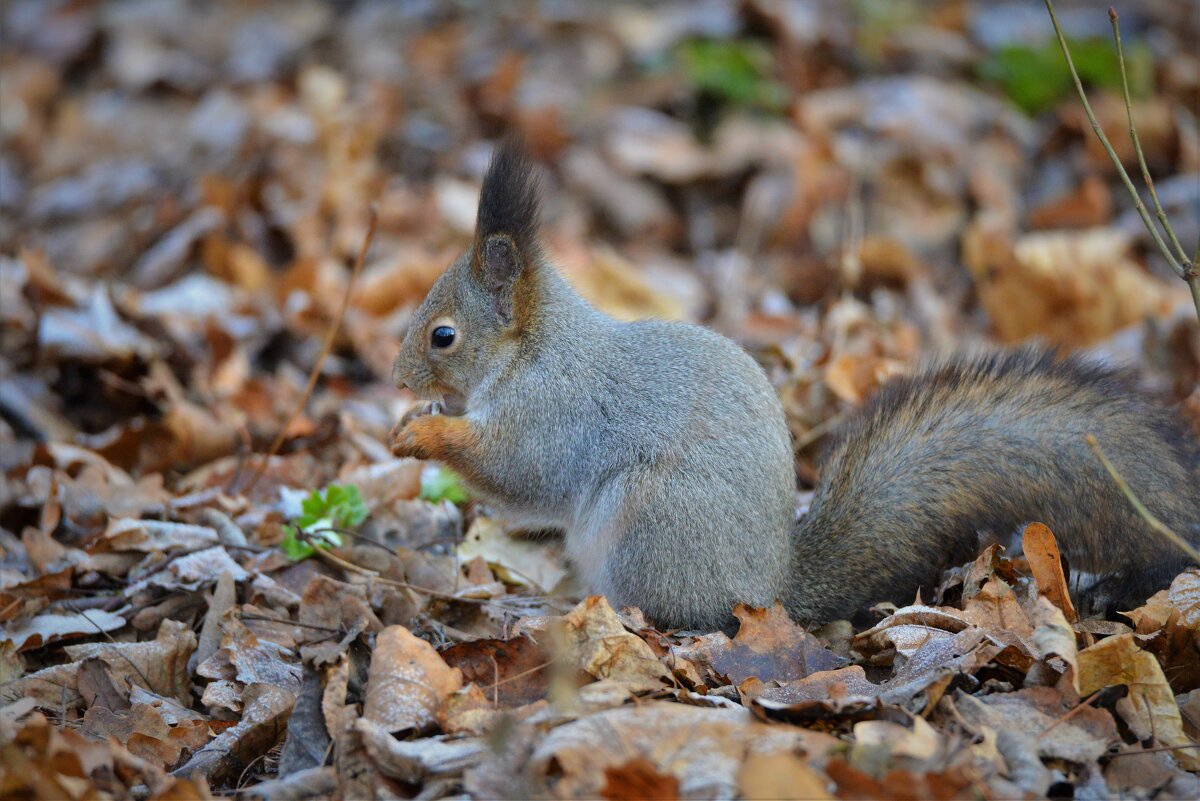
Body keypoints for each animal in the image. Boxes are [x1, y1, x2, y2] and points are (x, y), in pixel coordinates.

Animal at [391, 139, 1200, 633]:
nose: (395, 377)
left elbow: (517, 469)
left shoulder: (557, 408)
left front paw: (424, 432)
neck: (533, 350)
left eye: (443, 336)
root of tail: (768, 589)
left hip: (651, 528)